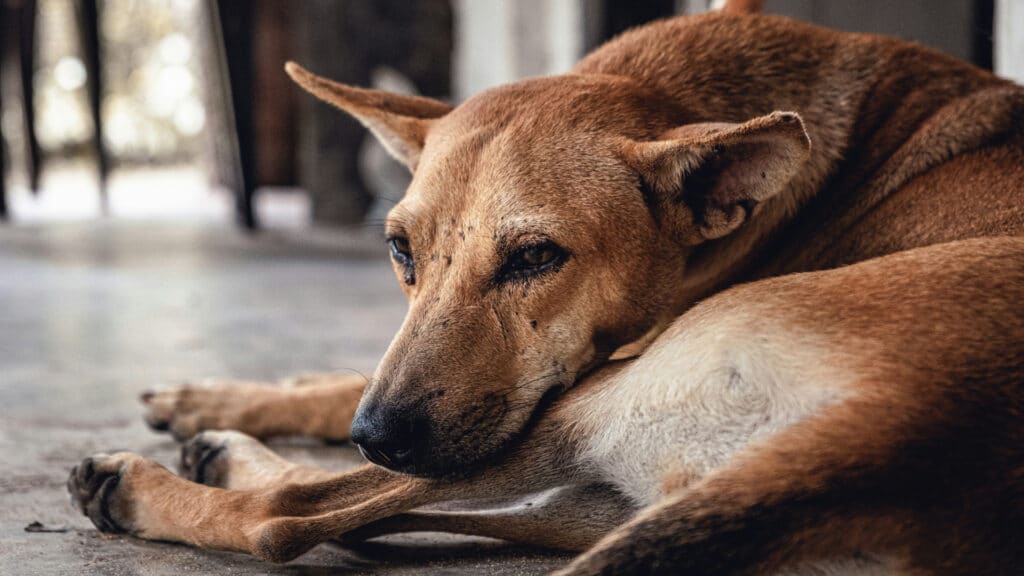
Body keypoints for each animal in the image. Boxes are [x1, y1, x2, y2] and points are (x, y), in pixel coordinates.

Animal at [68, 2, 1024, 573]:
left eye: (534, 258)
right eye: (399, 250)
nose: (378, 435)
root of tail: (889, 440)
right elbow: (341, 385)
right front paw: (231, 392)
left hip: (576, 410)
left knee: (292, 514)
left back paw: (149, 484)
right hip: (596, 496)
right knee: (367, 518)